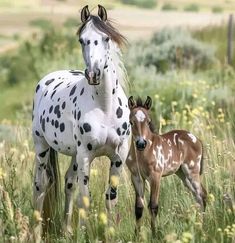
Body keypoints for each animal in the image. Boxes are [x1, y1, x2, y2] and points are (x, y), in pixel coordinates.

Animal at [31, 4, 130, 235]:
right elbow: (85, 198)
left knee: (69, 183)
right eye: (81, 40)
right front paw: (86, 234)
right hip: (42, 147)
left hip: (73, 155)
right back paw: (36, 232)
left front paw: (110, 233)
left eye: (106, 38)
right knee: (40, 185)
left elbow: (110, 197)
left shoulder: (118, 156)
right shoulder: (86, 155)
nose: (93, 74)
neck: (105, 108)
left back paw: (67, 230)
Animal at [126, 96, 207, 235]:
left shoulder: (155, 176)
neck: (143, 154)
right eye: (131, 122)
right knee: (198, 196)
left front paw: (154, 234)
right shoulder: (136, 177)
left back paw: (203, 228)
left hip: (192, 172)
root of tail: (196, 138)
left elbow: (153, 206)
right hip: (183, 175)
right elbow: (139, 208)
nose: (141, 143)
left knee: (202, 195)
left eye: (148, 121)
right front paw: (136, 235)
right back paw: (199, 227)